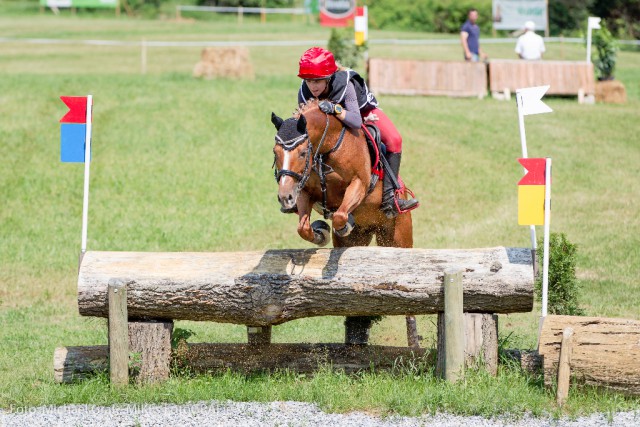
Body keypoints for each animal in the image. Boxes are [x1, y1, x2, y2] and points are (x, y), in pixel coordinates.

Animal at [272, 98, 418, 346]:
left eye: (302, 153)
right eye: (275, 152)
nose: (285, 197)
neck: (326, 147)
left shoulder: (359, 184)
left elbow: (341, 214)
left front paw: (344, 222)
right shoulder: (305, 191)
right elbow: (303, 227)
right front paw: (320, 231)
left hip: (397, 238)